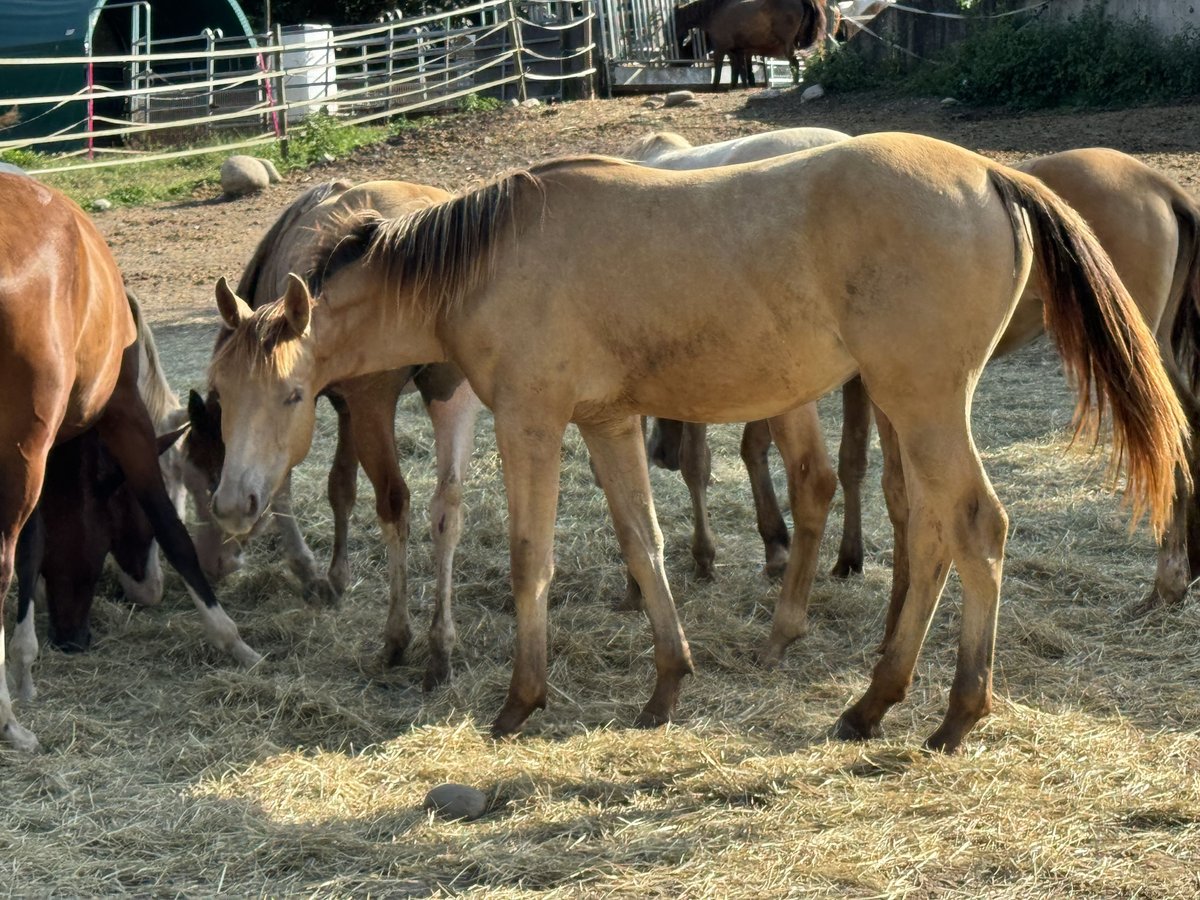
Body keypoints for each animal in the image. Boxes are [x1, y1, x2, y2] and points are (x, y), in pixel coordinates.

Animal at [0, 174, 260, 753]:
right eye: (185, 483)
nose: (73, 640)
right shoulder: (124, 418)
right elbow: (173, 532)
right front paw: (234, 641)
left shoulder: (41, 456)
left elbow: (33, 547)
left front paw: (25, 669)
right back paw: (7, 723)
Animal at [180, 181, 480, 691]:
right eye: (223, 387)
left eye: (206, 475)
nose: (210, 563)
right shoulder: (347, 406)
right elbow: (341, 486)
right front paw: (337, 575)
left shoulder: (334, 410)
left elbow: (287, 488)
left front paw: (314, 574)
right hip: (448, 392)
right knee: (447, 508)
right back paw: (441, 647)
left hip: (380, 406)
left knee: (395, 504)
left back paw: (397, 637)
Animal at [676, 0, 825, 88]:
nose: (678, 64)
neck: (715, 12)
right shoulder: (737, 51)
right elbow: (739, 69)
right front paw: (736, 85)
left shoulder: (722, 48)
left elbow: (720, 68)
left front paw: (715, 87)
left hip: (790, 45)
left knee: (795, 63)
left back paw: (795, 83)